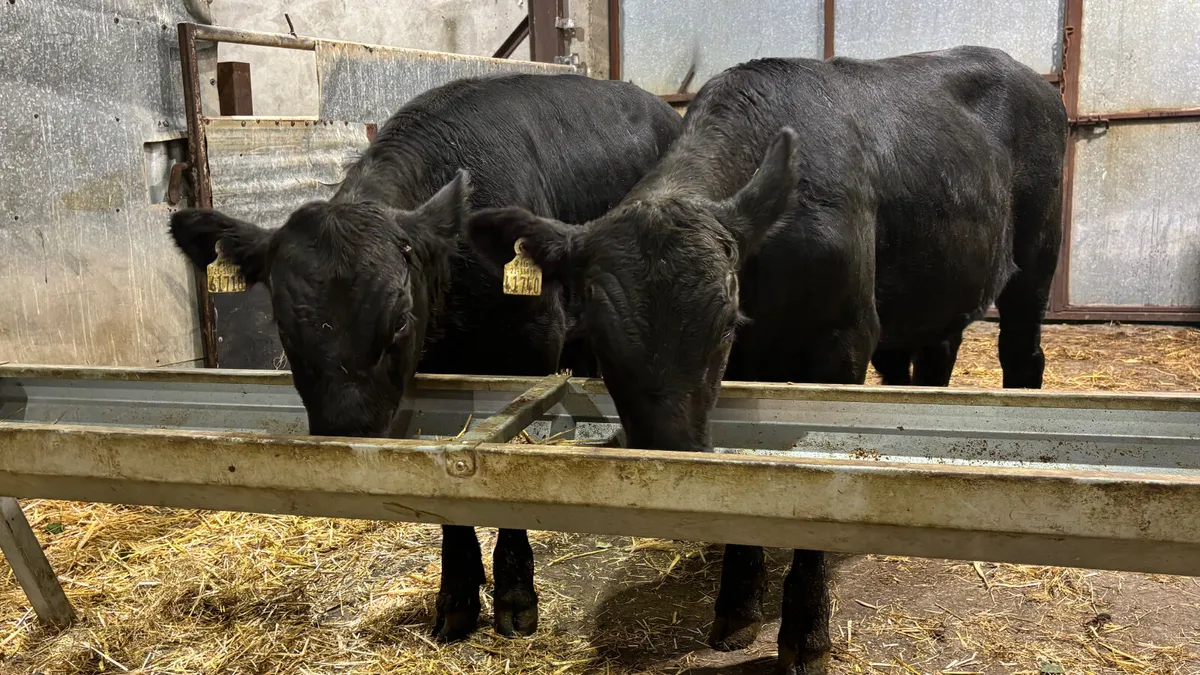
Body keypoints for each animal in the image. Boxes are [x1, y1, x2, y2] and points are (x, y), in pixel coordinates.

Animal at [167, 72, 682, 643]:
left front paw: (515, 597)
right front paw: (457, 596)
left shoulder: (529, 350)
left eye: (399, 320)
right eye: (282, 324)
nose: (346, 434)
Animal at [464, 47, 1067, 674]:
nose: (671, 457)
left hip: (1036, 257)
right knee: (933, 361)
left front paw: (804, 633)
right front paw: (736, 606)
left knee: (1023, 354)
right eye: (596, 339)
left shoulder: (844, 342)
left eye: (726, 324)